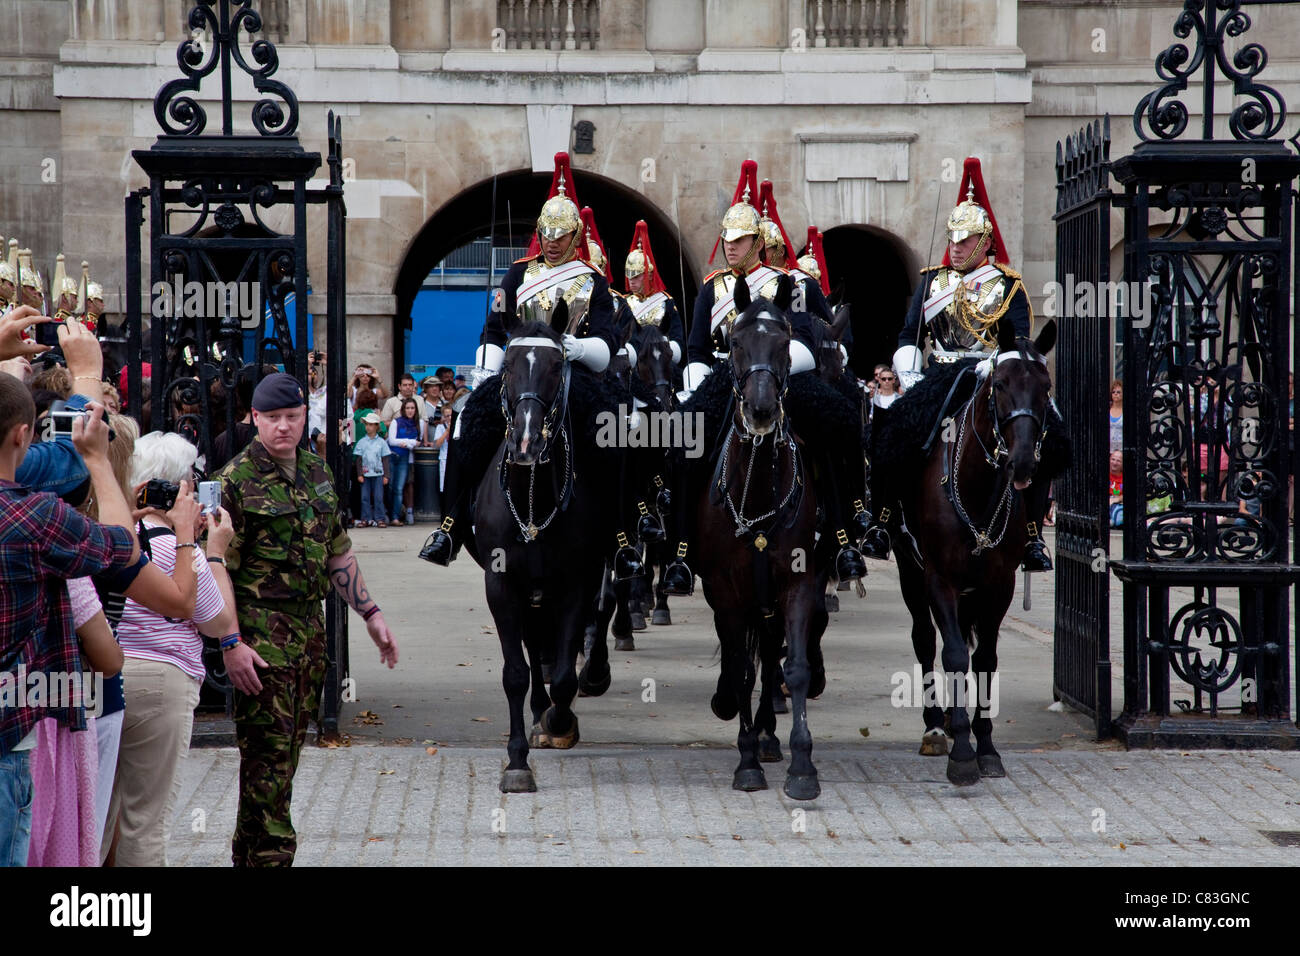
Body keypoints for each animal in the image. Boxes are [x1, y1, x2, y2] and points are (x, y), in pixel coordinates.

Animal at [691, 282, 821, 801]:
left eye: (785, 343)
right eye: (736, 341)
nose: (761, 411)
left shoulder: (799, 584)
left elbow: (794, 668)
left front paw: (802, 766)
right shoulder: (727, 592)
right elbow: (742, 669)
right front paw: (745, 762)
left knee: (769, 654)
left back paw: (769, 735)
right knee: (747, 659)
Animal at [894, 319, 1055, 785]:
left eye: (1046, 387)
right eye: (999, 384)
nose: (1023, 463)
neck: (976, 490)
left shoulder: (998, 585)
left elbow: (983, 659)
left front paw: (985, 747)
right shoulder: (939, 579)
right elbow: (950, 654)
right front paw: (962, 754)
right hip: (910, 574)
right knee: (925, 639)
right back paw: (936, 725)